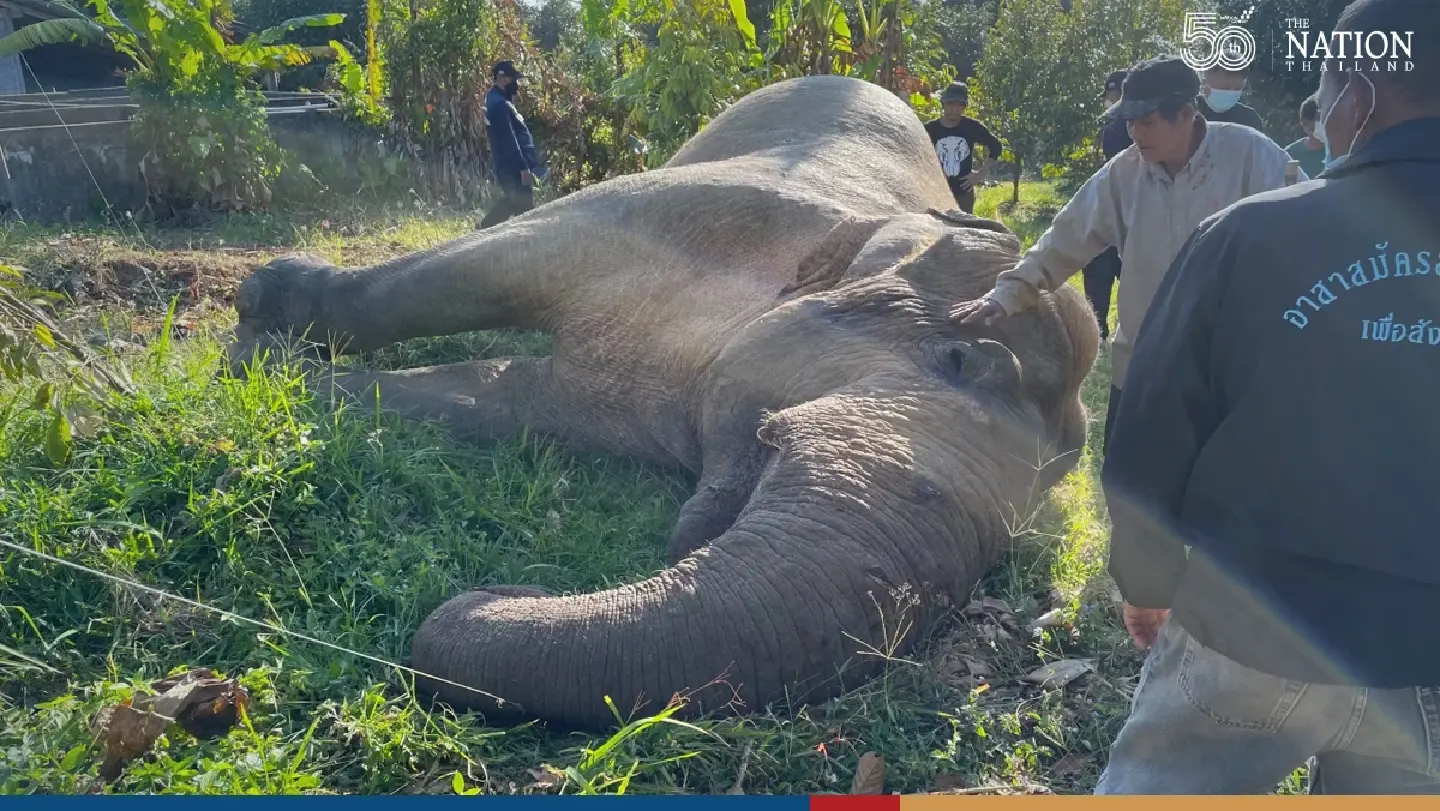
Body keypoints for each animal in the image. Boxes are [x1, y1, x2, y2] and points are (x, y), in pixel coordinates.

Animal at [225, 75, 1100, 730]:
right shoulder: (707, 207)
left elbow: (506, 398)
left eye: (1015, 545)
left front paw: (280, 371)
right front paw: (258, 329)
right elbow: (498, 261)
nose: (498, 588)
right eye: (961, 360)